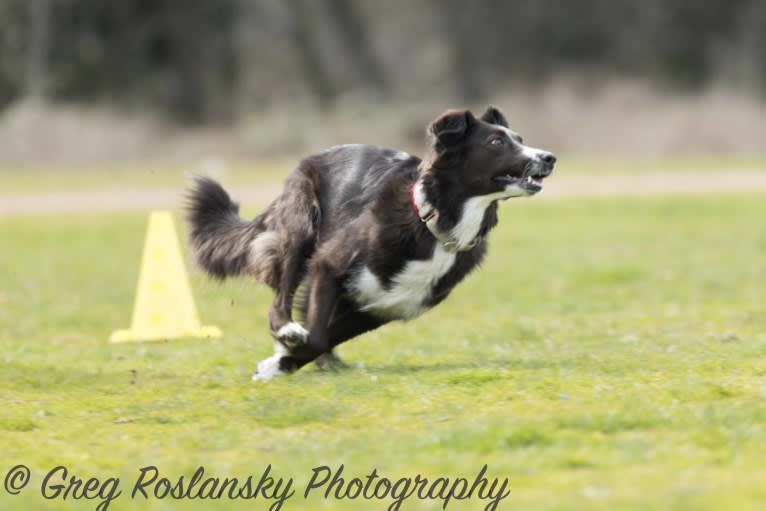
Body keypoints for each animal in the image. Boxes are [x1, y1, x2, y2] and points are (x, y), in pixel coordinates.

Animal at [186, 107, 560, 380]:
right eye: (496, 143)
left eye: (520, 139)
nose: (549, 157)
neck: (433, 225)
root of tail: (309, 159)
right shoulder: (328, 264)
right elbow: (316, 333)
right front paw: (279, 360)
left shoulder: (381, 308)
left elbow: (323, 334)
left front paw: (284, 362)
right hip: (301, 231)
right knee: (281, 301)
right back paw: (288, 331)